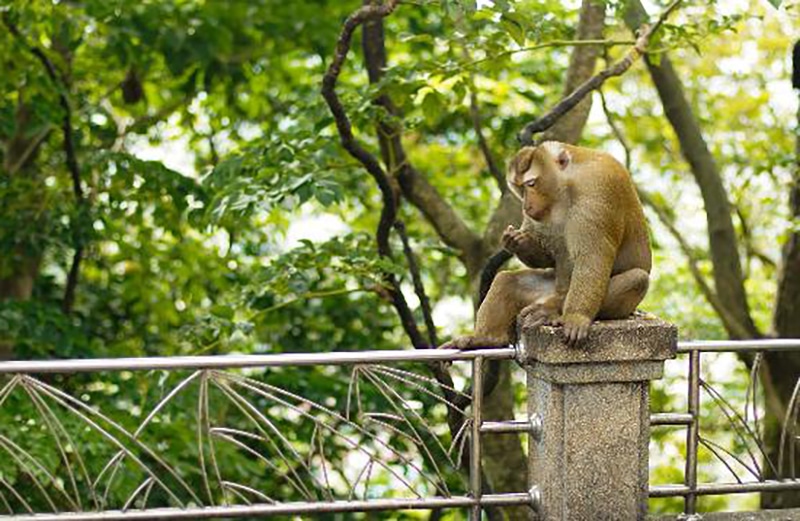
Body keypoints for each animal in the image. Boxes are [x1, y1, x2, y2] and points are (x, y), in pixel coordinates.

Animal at [444, 140, 648, 348]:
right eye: (520, 188)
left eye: (531, 184)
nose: (526, 206)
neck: (567, 183)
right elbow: (549, 256)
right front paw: (519, 242)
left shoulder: (597, 187)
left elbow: (592, 257)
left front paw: (576, 317)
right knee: (507, 279)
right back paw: (487, 338)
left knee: (638, 279)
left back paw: (552, 312)